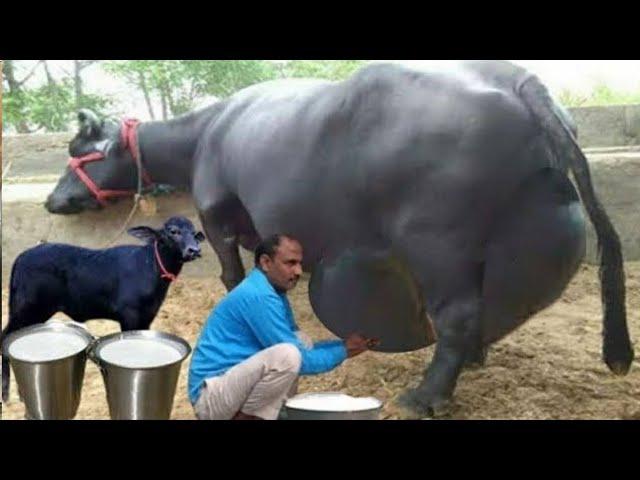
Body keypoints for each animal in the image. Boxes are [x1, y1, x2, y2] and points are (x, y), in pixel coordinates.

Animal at [46, 61, 636, 416]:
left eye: (83, 149)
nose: (54, 200)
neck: (207, 134)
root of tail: (518, 79)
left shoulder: (216, 214)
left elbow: (233, 272)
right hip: (527, 233)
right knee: (494, 305)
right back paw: (472, 360)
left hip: (438, 242)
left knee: (458, 314)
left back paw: (425, 395)